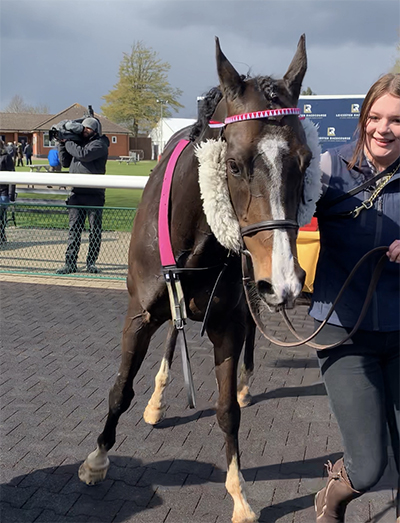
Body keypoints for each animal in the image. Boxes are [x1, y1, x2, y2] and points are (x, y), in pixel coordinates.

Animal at [79, 35, 316, 523]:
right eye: (236, 164)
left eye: (304, 162)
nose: (286, 281)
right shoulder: (139, 314)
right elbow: (120, 389)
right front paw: (96, 459)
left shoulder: (227, 321)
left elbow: (227, 411)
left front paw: (240, 494)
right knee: (173, 333)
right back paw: (156, 401)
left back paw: (243, 385)